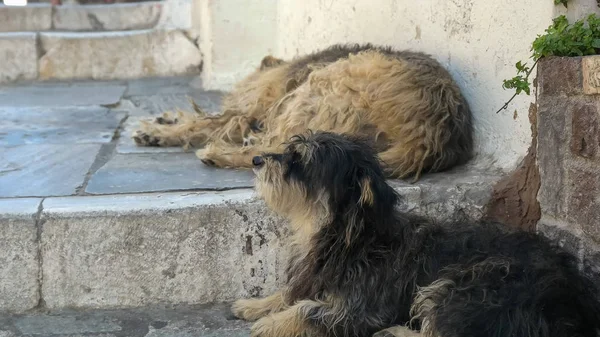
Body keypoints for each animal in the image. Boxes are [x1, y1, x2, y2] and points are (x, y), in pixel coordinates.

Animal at [132, 45, 474, 181]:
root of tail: (432, 137)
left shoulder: (250, 110)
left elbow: (206, 121)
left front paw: (159, 131)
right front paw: (162, 123)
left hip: (322, 85)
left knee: (271, 150)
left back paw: (217, 154)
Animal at [232, 131, 600, 336]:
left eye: (300, 162)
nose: (256, 160)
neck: (350, 237)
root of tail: (574, 307)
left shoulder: (362, 308)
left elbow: (308, 308)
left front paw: (273, 323)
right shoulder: (314, 278)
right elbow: (290, 293)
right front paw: (257, 304)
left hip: (470, 284)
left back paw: (394, 334)